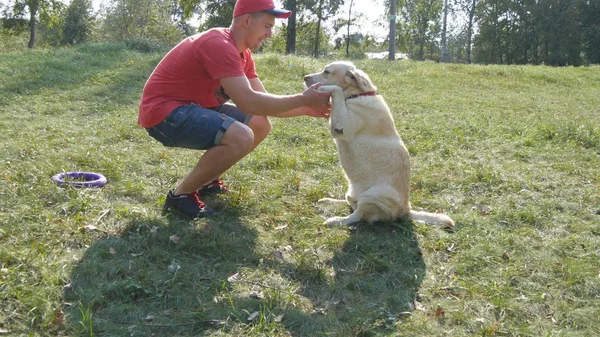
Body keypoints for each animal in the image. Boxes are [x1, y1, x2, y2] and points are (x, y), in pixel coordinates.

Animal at [304, 61, 454, 227]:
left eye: (327, 71)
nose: (305, 77)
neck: (358, 95)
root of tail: (405, 210)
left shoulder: (342, 126)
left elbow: (336, 91)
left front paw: (324, 89)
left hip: (373, 196)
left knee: (358, 216)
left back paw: (336, 220)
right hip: (353, 192)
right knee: (351, 203)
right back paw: (329, 201)